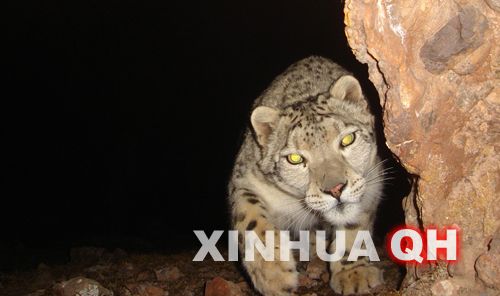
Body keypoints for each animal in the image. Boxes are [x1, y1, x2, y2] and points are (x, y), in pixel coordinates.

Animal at [229, 56, 384, 296]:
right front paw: (274, 275)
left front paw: (353, 274)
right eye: (295, 158)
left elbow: (355, 225)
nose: (336, 189)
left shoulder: (372, 183)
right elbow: (250, 218)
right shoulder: (246, 181)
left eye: (347, 139)